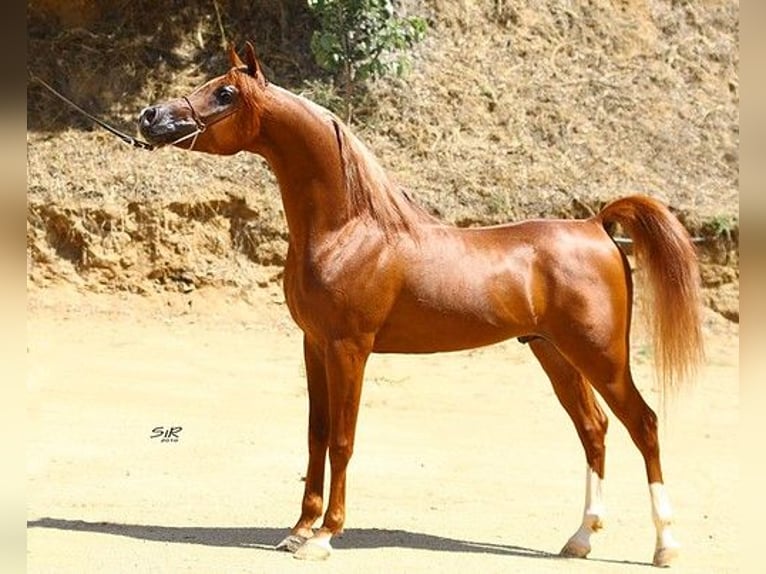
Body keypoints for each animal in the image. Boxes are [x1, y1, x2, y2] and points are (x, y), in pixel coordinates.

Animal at [138, 42, 704, 566]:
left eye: (225, 93)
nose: (151, 117)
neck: (349, 230)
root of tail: (596, 225)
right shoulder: (314, 345)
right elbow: (316, 435)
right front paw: (298, 530)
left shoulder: (349, 349)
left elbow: (342, 439)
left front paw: (325, 536)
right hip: (555, 353)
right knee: (594, 430)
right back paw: (580, 539)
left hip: (601, 356)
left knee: (644, 425)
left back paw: (666, 545)